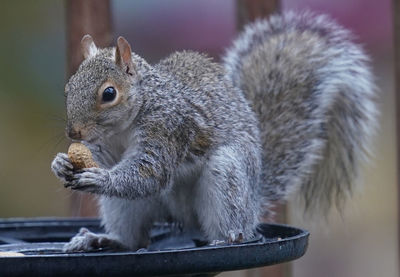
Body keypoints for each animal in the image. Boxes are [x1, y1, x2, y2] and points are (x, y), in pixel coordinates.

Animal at [50, 11, 378, 251]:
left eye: (109, 93)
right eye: (68, 87)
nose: (74, 133)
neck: (124, 126)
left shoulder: (169, 127)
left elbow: (149, 173)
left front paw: (99, 178)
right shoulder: (106, 146)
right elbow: (106, 160)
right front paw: (62, 163)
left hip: (228, 176)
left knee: (233, 220)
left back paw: (229, 237)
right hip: (126, 207)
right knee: (134, 239)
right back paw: (102, 239)